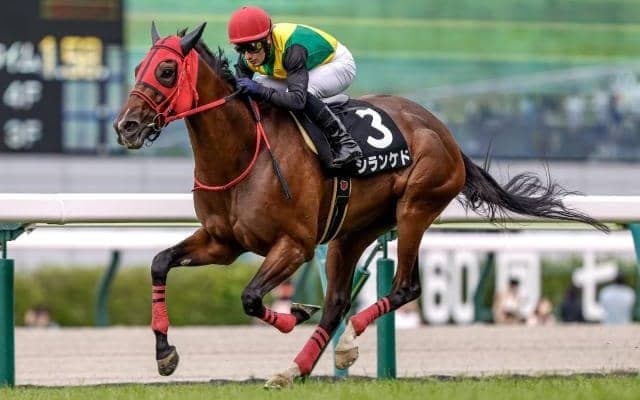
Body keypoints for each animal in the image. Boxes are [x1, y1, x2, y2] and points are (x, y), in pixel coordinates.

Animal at [113, 23, 607, 388]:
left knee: (405, 287)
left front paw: (294, 314)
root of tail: (444, 132)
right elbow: (159, 263)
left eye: (167, 71)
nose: (126, 126)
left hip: (415, 208)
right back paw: (295, 368)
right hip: (351, 232)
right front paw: (165, 353)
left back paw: (344, 345)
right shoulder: (222, 242)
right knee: (337, 302)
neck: (243, 151)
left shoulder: (295, 245)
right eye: (138, 66)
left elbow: (251, 298)